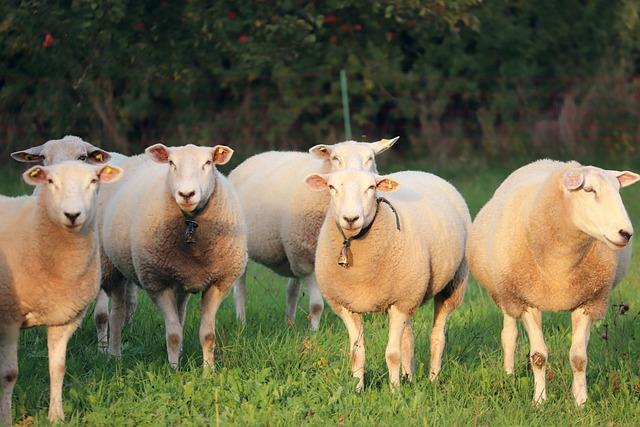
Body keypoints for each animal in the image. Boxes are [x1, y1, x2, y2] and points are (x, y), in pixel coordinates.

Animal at [0, 161, 122, 424]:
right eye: (50, 181)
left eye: (94, 180)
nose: (72, 215)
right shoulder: (8, 318)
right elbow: (9, 373)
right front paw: (5, 418)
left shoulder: (65, 318)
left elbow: (57, 369)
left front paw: (56, 416)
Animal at [100, 144, 248, 368]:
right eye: (171, 163)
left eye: (208, 163)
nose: (186, 194)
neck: (191, 224)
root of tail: (136, 157)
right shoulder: (158, 283)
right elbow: (173, 334)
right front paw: (173, 369)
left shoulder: (218, 283)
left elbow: (207, 334)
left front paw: (209, 370)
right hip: (113, 267)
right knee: (116, 313)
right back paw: (114, 356)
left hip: (180, 277)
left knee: (180, 312)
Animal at [230, 138, 398, 332]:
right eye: (335, 158)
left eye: (370, 158)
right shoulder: (307, 261)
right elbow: (317, 305)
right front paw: (313, 332)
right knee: (240, 289)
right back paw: (241, 322)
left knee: (292, 291)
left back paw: (289, 323)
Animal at [304, 168, 470, 392]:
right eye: (331, 187)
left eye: (371, 187)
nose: (351, 218)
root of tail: (422, 171)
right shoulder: (346, 305)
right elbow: (357, 352)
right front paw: (358, 389)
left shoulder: (399, 302)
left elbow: (392, 354)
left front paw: (395, 391)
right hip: (411, 291)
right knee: (408, 337)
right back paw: (409, 377)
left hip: (452, 284)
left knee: (437, 335)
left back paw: (433, 378)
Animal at [464, 159, 640, 406]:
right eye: (589, 190)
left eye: (618, 191)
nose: (626, 233)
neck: (560, 265)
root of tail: (547, 162)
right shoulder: (526, 300)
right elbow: (538, 356)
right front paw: (539, 401)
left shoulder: (588, 301)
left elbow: (579, 357)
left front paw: (580, 401)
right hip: (506, 294)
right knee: (509, 335)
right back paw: (508, 375)